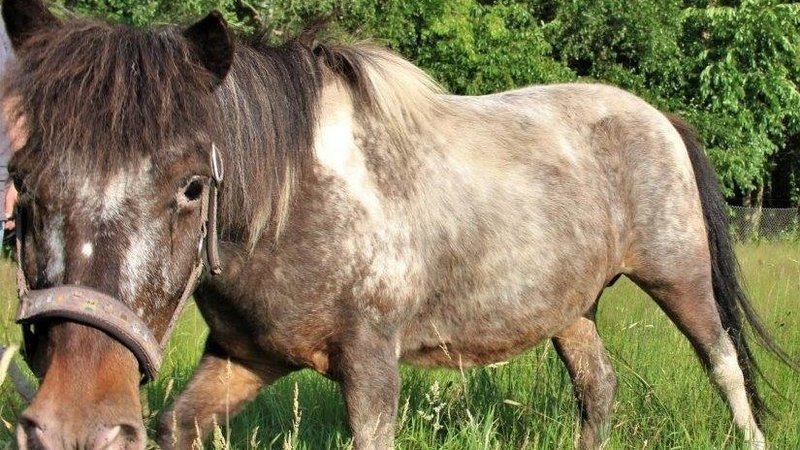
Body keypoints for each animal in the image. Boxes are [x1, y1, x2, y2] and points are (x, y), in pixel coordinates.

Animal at [3, 1, 795, 449]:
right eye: (23, 184)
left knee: (725, 365)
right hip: (570, 310)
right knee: (597, 389)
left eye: (191, 187)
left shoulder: (370, 366)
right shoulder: (244, 356)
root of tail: (660, 116)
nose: (73, 424)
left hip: (679, 278)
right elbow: (176, 424)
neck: (295, 200)